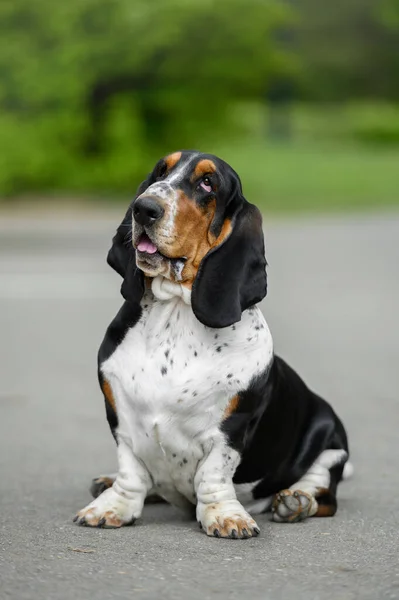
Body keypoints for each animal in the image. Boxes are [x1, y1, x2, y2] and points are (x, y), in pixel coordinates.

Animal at [73, 150, 352, 540]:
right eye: (160, 172)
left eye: (208, 183)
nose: (143, 209)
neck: (175, 314)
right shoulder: (121, 418)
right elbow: (131, 470)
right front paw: (113, 505)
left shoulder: (229, 430)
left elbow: (213, 474)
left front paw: (225, 516)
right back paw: (108, 482)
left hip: (330, 441)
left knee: (323, 492)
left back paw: (297, 501)